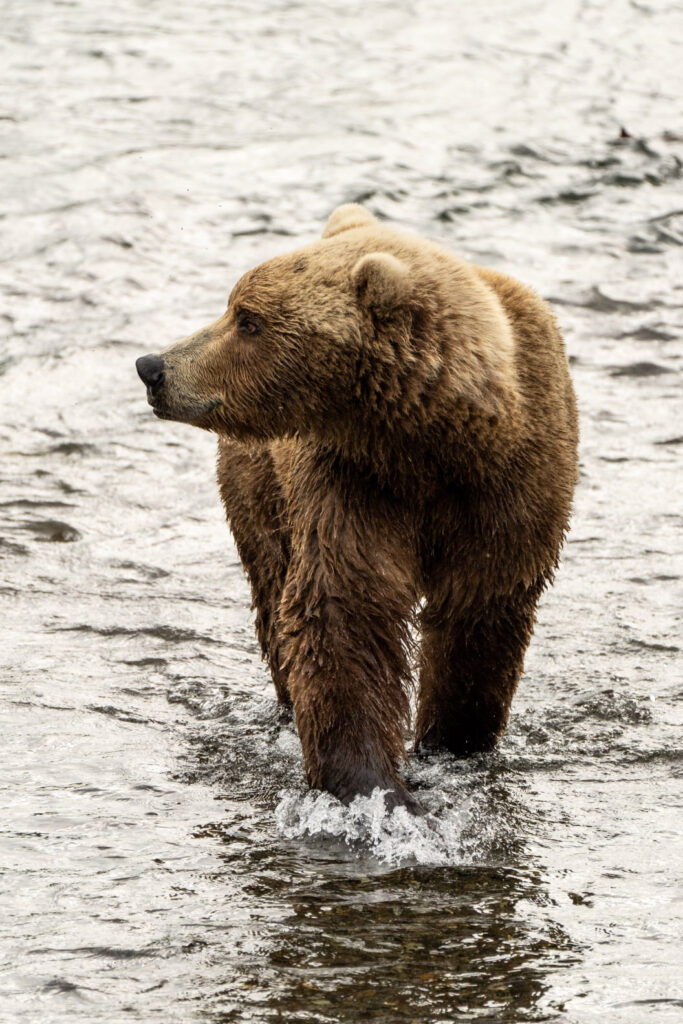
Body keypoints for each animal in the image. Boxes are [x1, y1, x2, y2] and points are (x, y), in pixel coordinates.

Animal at [136, 204, 578, 814]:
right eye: (235, 307)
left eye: (247, 320)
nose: (153, 367)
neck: (432, 445)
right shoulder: (352, 480)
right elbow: (344, 608)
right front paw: (373, 784)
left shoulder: (511, 487)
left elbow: (480, 615)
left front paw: (453, 742)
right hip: (262, 481)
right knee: (272, 587)